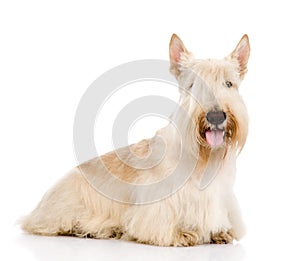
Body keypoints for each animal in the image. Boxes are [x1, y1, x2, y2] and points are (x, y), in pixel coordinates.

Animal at [21, 33, 251, 245]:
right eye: (193, 85)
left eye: (229, 83)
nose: (215, 116)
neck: (204, 156)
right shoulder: (158, 207)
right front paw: (183, 234)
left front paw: (221, 233)